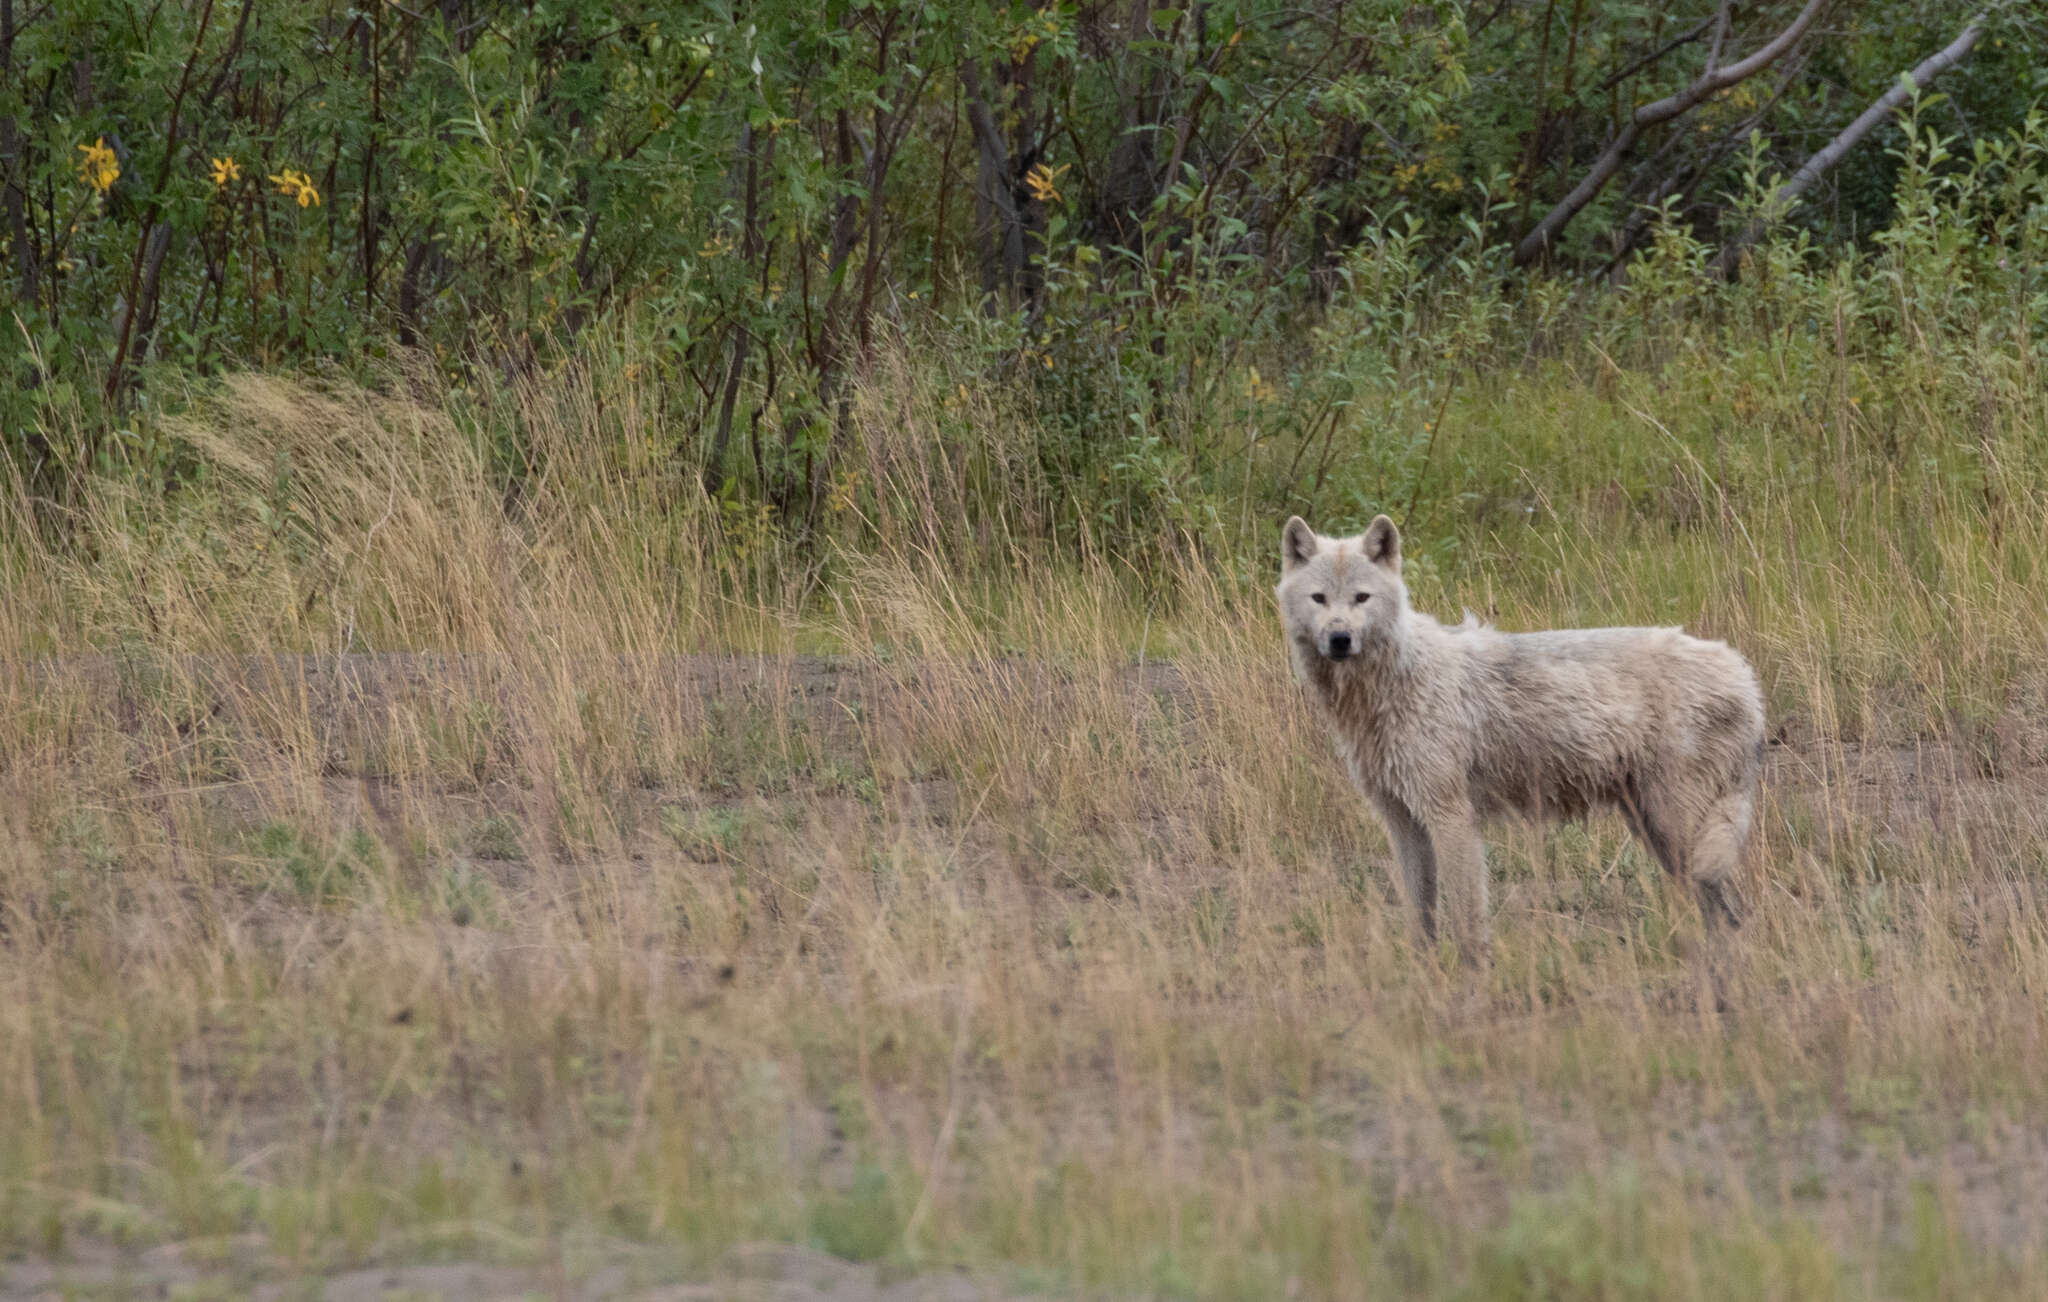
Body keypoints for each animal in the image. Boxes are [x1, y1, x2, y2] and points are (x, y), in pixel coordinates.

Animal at [1277, 513, 1761, 949]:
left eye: (1362, 598)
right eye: (1320, 598)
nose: (1340, 639)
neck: (1396, 681)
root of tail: (1744, 674)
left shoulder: (1452, 818)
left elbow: (1467, 924)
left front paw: (1471, 983)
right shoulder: (1404, 824)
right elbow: (1421, 921)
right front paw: (1425, 979)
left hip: (1679, 831)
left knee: (1734, 912)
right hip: (1657, 831)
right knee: (1723, 915)